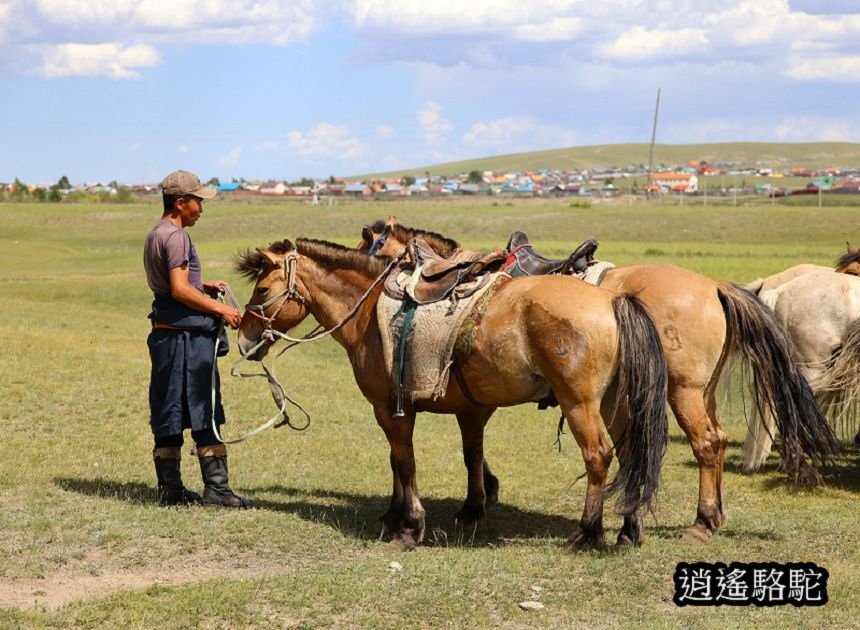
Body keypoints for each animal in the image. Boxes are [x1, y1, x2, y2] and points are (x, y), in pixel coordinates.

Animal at [239, 239, 668, 552]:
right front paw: (420, 514)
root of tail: (611, 299)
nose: (243, 339)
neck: (368, 313)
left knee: (599, 456)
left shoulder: (390, 408)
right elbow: (458, 457)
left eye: (262, 288)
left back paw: (586, 534)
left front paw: (409, 527)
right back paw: (628, 530)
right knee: (630, 451)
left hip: (579, 402)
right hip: (614, 402)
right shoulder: (465, 409)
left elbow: (405, 462)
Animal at [356, 218, 840, 544]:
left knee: (703, 444)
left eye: (373, 242)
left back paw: (700, 524)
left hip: (681, 391)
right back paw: (712, 516)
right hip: (700, 391)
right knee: (717, 441)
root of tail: (713, 286)